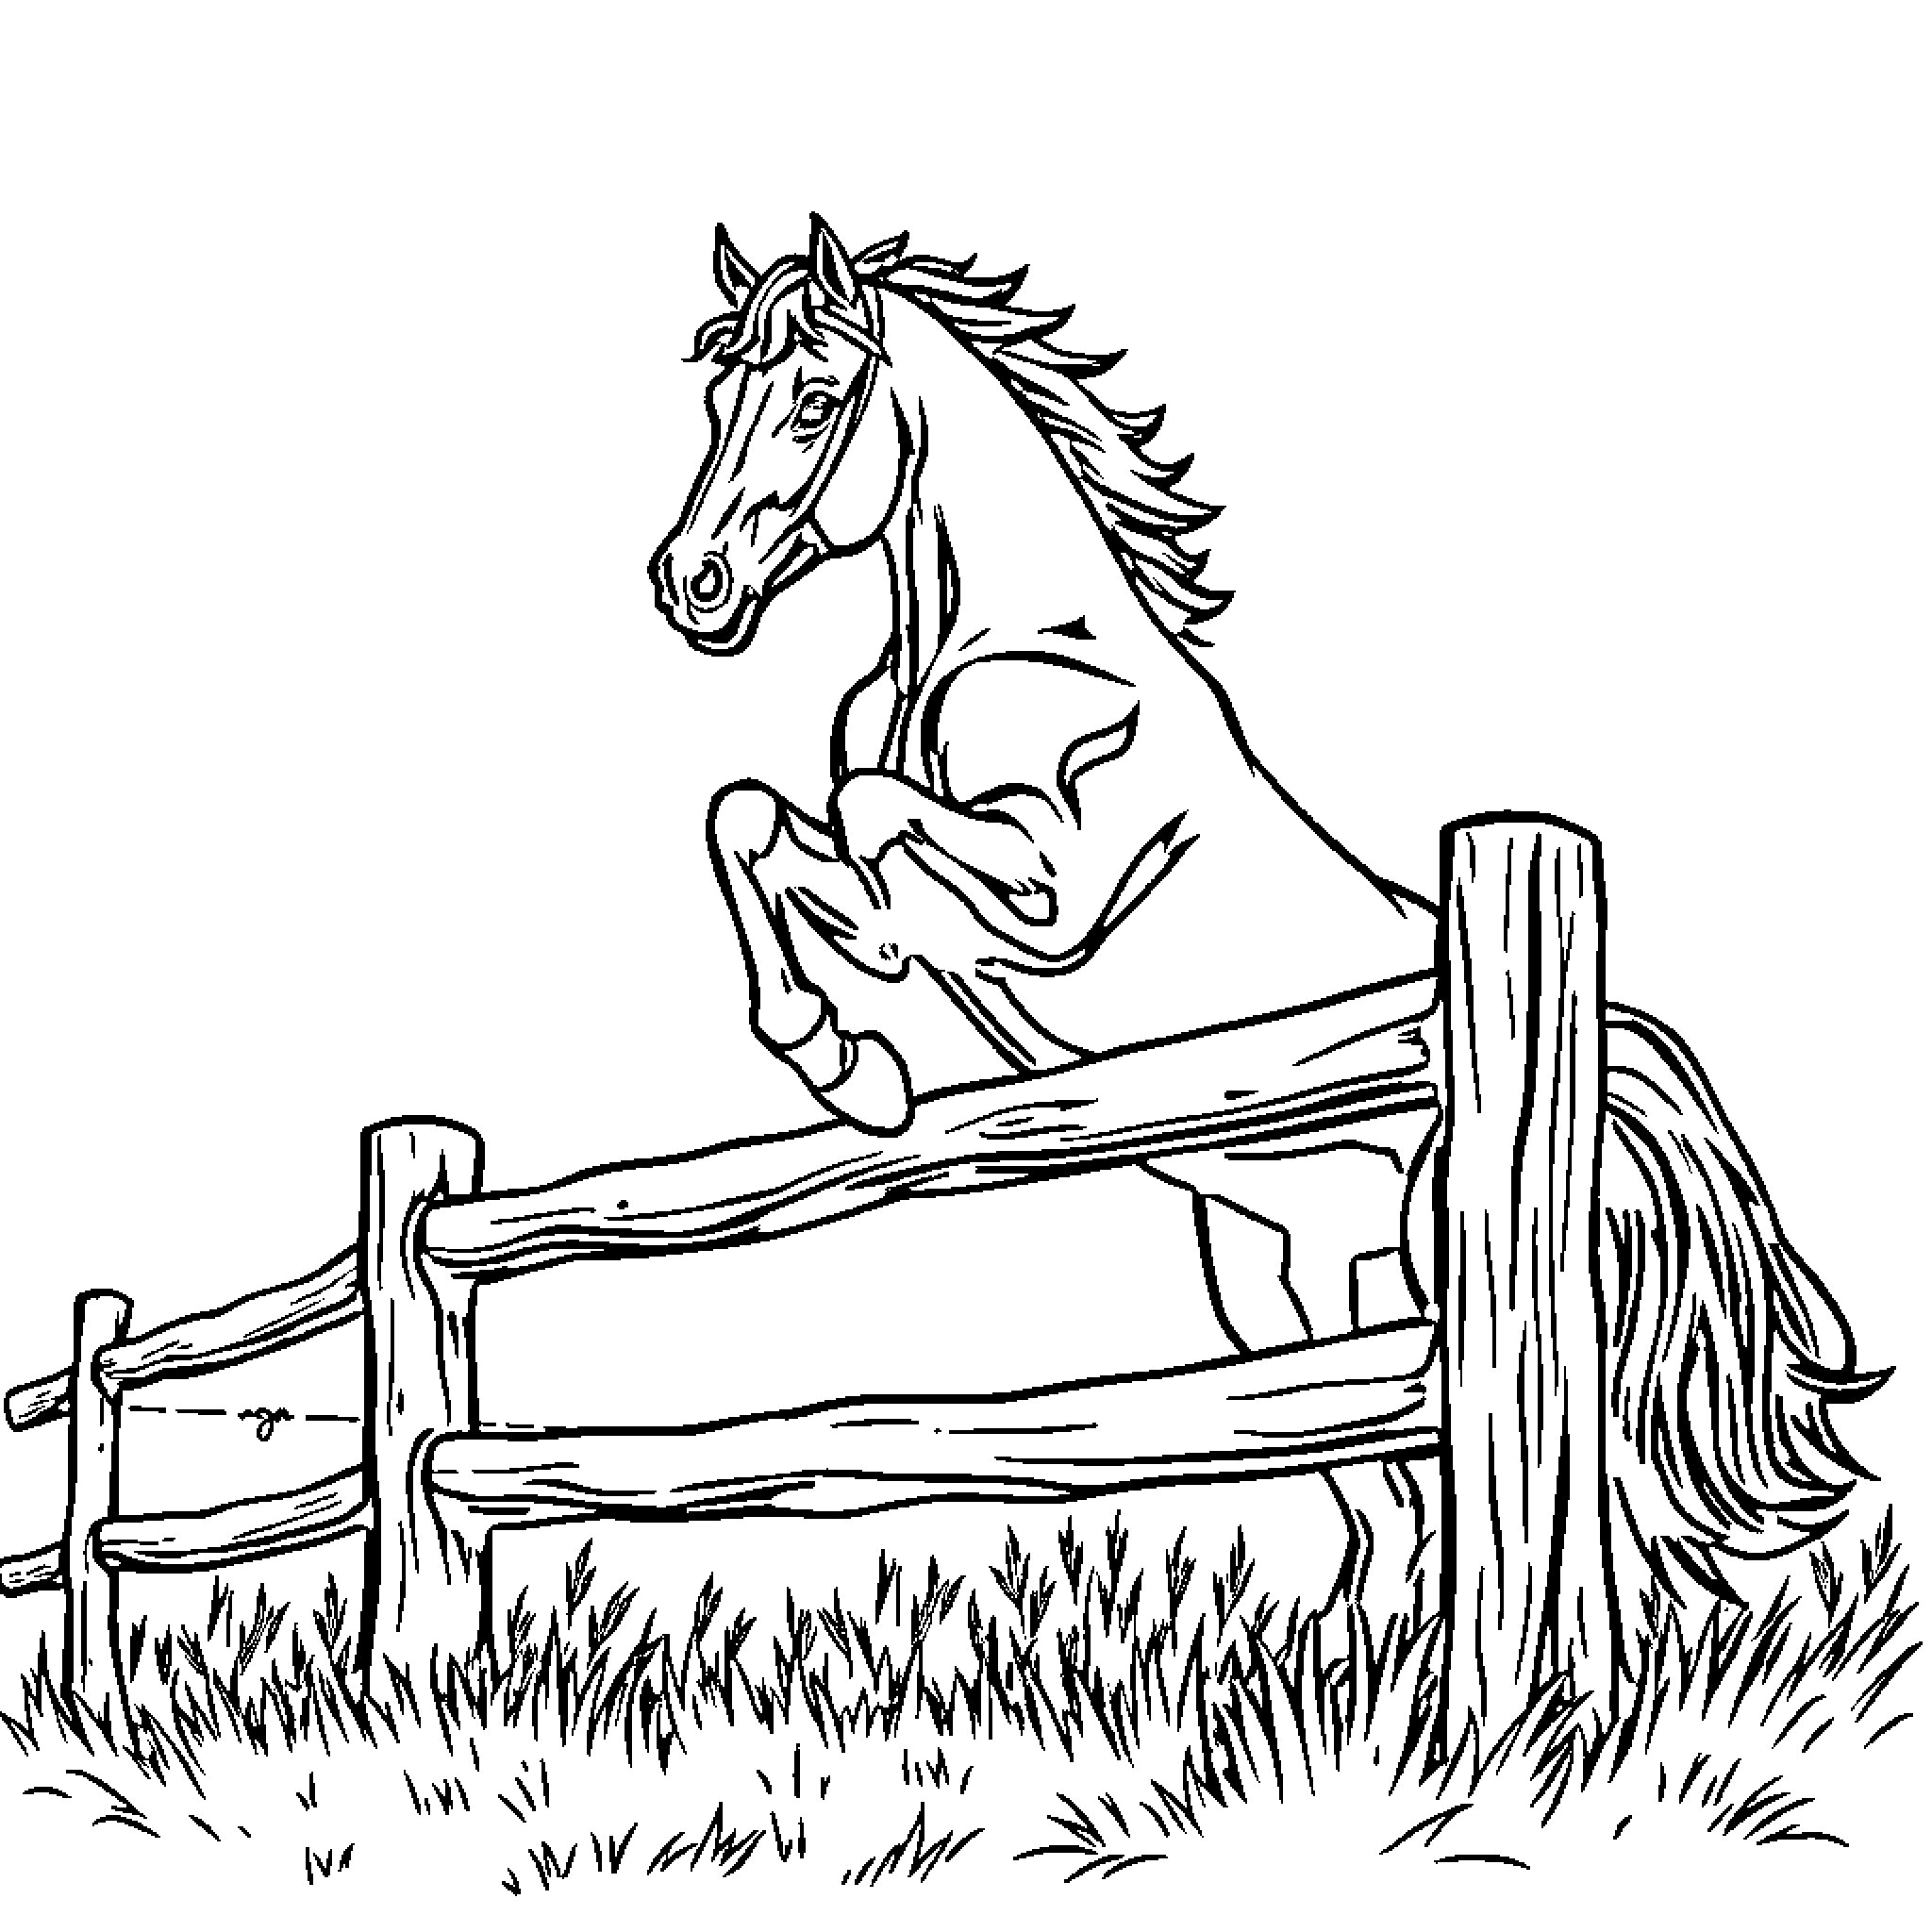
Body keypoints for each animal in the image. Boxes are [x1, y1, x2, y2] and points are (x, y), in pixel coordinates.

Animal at [650, 213, 1886, 1653]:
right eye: (717, 400)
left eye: (811, 400)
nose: (690, 586)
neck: (1003, 639)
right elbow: (758, 817)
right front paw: (847, 1054)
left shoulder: (1059, 893)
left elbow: (872, 821)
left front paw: (862, 1035)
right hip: (1281, 1289)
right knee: (1386, 1506)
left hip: (1415, 1284)